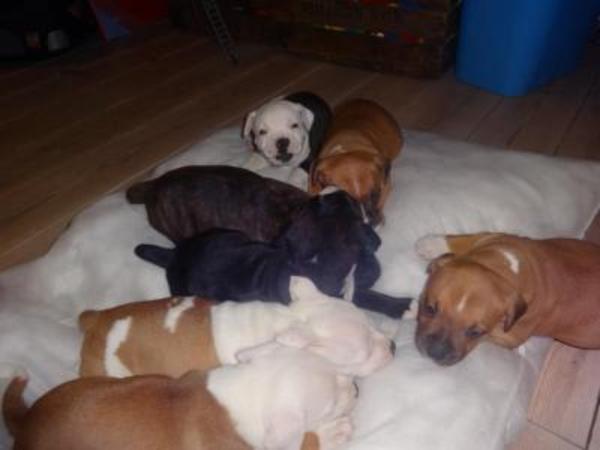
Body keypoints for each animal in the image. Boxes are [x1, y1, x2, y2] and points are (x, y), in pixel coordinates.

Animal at [414, 232, 600, 366]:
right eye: (429, 309)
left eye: (476, 332)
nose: (436, 352)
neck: (500, 269)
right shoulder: (493, 236)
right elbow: (468, 238)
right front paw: (431, 244)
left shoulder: (511, 337)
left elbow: (494, 333)